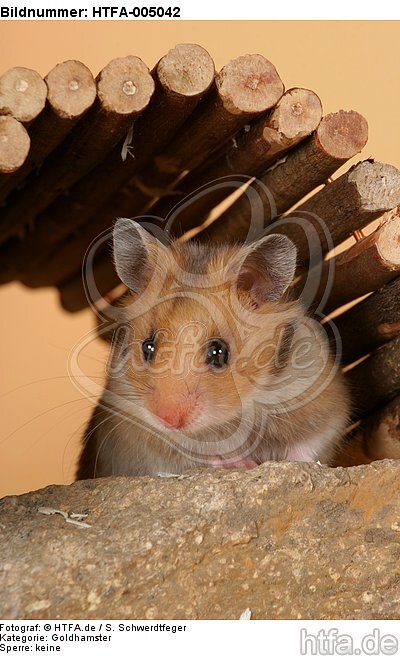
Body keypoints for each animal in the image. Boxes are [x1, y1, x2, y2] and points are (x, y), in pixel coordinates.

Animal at [76, 218, 349, 479]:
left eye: (219, 352)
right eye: (148, 347)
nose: (167, 419)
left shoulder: (324, 399)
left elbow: (310, 444)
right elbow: (196, 455)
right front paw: (242, 463)